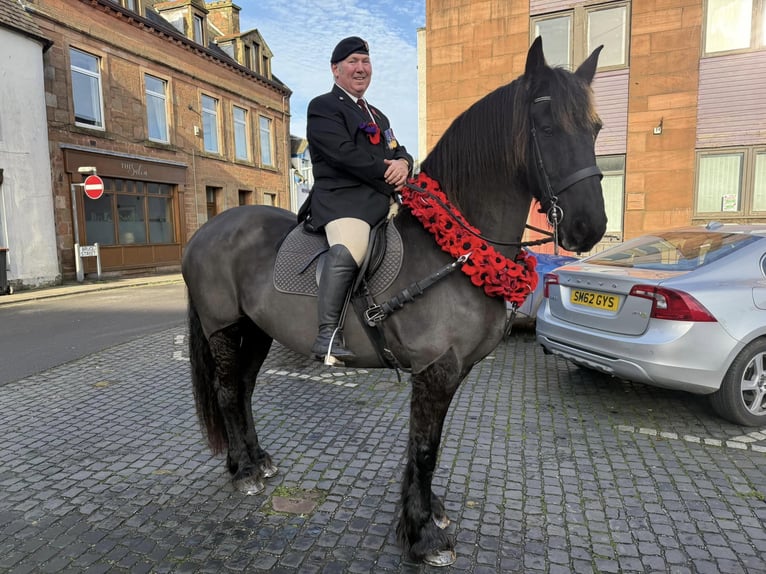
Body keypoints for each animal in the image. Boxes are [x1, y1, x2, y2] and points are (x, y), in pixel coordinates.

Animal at [183, 38, 608, 568]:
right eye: (547, 128)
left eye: (595, 128)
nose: (590, 227)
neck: (455, 250)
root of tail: (207, 230)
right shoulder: (436, 368)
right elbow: (425, 448)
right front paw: (423, 537)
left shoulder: (451, 370)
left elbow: (422, 447)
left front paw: (422, 515)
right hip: (223, 328)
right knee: (226, 392)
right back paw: (242, 472)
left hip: (255, 330)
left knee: (241, 391)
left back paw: (254, 461)